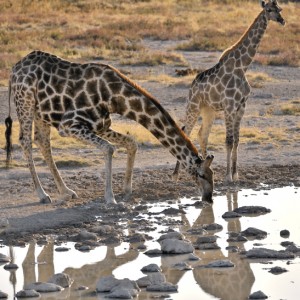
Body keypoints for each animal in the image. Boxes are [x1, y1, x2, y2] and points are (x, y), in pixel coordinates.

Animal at [5, 50, 216, 205]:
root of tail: (14, 69)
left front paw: (126, 190)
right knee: (25, 141)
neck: (114, 98)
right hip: (25, 102)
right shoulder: (69, 125)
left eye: (213, 175)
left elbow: (131, 143)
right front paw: (110, 197)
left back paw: (65, 191)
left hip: (42, 113)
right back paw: (42, 195)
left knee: (42, 142)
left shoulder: (101, 125)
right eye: (201, 175)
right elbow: (109, 148)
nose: (209, 199)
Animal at [172, 0, 284, 183]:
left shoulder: (241, 107)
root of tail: (192, 86)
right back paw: (175, 174)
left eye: (279, 9)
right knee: (186, 132)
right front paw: (228, 176)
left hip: (208, 110)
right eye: (268, 10)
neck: (242, 67)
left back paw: (205, 169)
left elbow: (237, 140)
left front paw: (235, 174)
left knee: (202, 134)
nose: (282, 20)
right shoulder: (229, 107)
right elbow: (229, 141)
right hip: (193, 106)